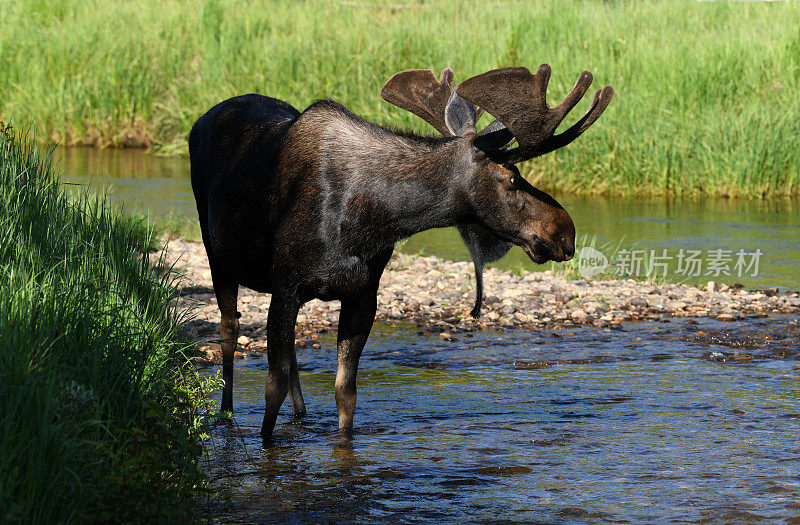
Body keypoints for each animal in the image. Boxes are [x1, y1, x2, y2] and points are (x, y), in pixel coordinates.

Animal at [191, 63, 616, 436]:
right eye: (512, 179)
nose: (565, 232)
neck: (376, 218)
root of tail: (200, 119)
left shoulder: (362, 293)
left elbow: (346, 392)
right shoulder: (287, 285)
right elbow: (271, 390)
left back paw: (301, 414)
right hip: (218, 256)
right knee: (229, 330)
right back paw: (226, 413)